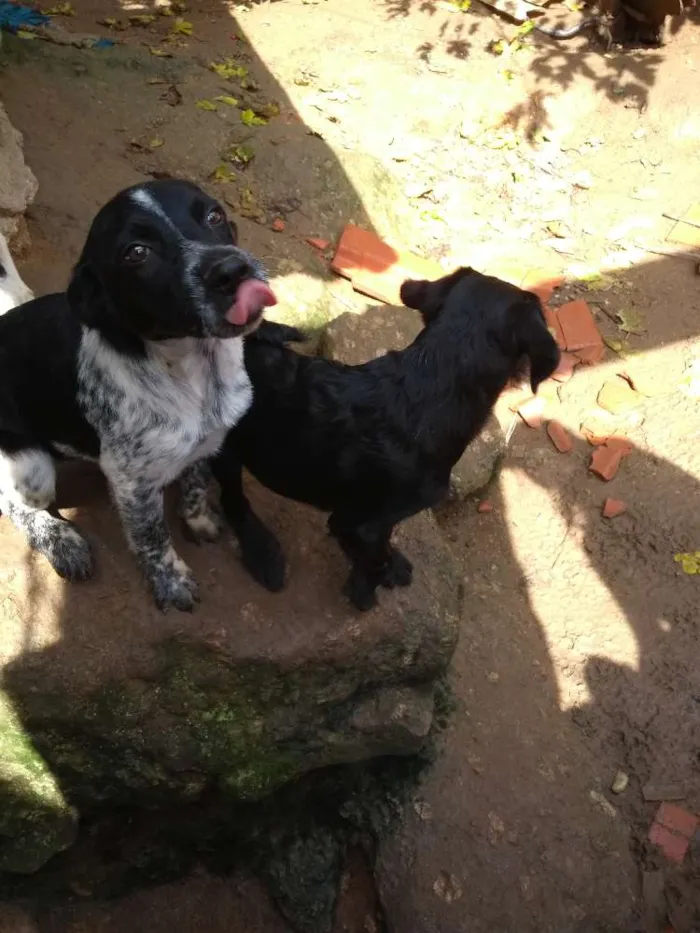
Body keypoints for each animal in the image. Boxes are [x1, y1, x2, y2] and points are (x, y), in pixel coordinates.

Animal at [0, 178, 276, 612]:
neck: (197, 370)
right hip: (32, 468)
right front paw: (172, 581)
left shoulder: (210, 440)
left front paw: (198, 519)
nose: (233, 270)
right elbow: (153, 538)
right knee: (13, 503)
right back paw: (62, 541)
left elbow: (196, 480)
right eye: (137, 252)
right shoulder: (131, 482)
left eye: (214, 216)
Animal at [216, 266, 560, 608]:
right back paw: (261, 551)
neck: (431, 384)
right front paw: (366, 591)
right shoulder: (357, 524)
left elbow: (383, 546)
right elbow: (371, 559)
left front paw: (390, 564)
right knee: (233, 501)